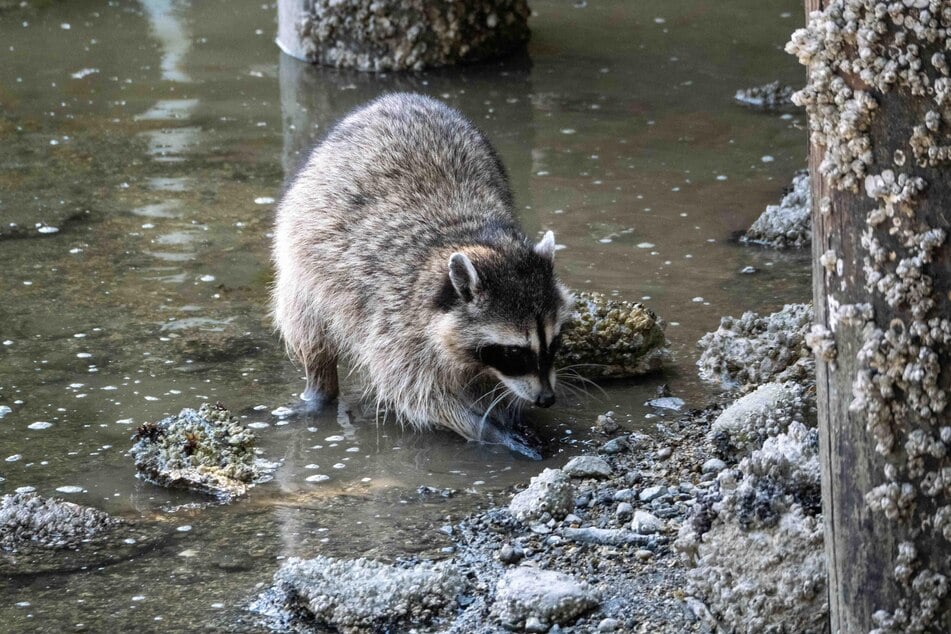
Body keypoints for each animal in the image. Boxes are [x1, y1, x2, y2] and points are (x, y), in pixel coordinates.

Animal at [272, 91, 568, 452]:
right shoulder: (393, 323)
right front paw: (484, 427)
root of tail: (397, 98)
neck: (471, 239)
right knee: (307, 327)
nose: (547, 399)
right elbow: (418, 394)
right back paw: (319, 386)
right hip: (300, 260)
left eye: (554, 341)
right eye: (513, 352)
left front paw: (507, 408)